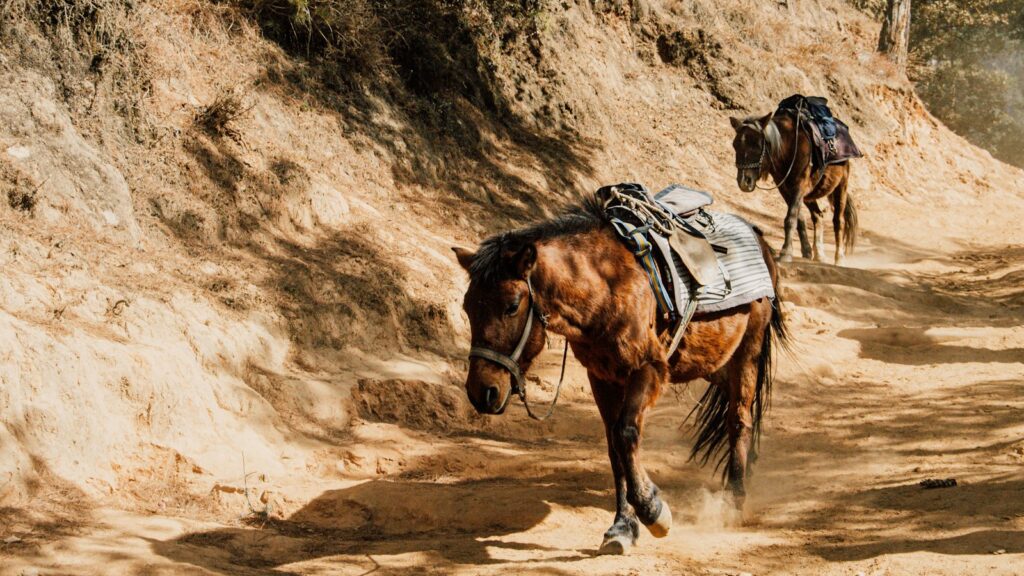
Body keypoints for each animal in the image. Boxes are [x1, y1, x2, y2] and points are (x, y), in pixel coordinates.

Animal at [452, 194, 787, 554]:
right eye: (468, 307)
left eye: (512, 305)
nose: (482, 391)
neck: (605, 288)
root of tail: (759, 239)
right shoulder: (602, 378)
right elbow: (615, 448)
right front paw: (623, 526)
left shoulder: (648, 369)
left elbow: (626, 433)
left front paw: (653, 510)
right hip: (715, 362)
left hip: (747, 354)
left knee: (739, 419)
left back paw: (734, 501)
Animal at [730, 111, 858, 265]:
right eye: (735, 145)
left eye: (757, 145)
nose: (744, 181)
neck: (789, 147)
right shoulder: (785, 190)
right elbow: (799, 219)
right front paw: (806, 251)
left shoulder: (799, 186)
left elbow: (790, 218)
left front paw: (785, 253)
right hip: (810, 196)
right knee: (818, 216)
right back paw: (819, 254)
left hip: (841, 186)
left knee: (838, 221)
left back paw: (839, 258)